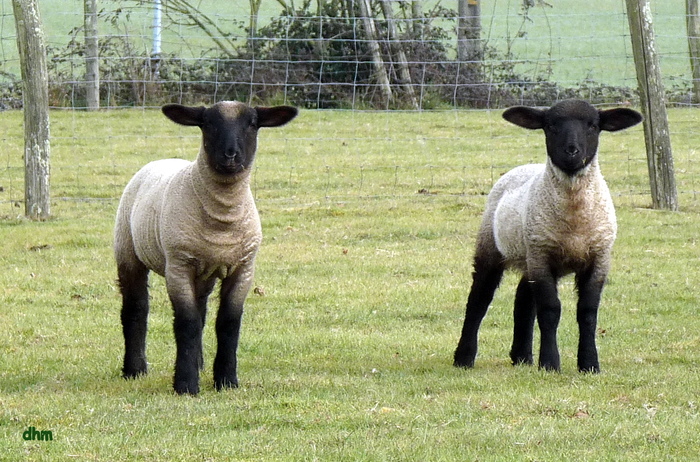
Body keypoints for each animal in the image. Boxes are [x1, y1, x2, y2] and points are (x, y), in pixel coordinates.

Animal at [114, 100, 298, 394]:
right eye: (208, 123)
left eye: (252, 123)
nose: (230, 155)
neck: (222, 217)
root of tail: (162, 160)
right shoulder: (178, 265)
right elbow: (186, 323)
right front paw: (186, 384)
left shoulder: (243, 268)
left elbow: (228, 323)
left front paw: (226, 380)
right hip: (128, 249)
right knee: (135, 309)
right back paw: (134, 369)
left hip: (205, 271)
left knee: (201, 312)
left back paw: (198, 364)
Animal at [454, 99, 640, 374]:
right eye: (550, 125)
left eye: (592, 126)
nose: (571, 152)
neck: (574, 220)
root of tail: (524, 166)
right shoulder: (542, 256)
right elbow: (550, 310)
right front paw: (550, 363)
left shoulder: (598, 257)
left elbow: (588, 312)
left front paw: (589, 364)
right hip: (493, 246)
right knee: (479, 299)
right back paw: (464, 358)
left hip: (529, 253)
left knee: (523, 299)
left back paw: (521, 356)